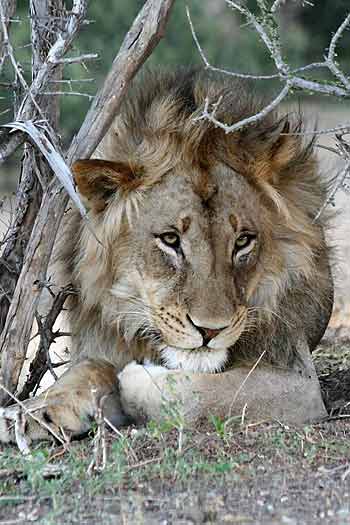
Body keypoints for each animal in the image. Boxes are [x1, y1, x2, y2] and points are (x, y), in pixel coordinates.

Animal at [0, 67, 334, 440]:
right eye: (170, 239)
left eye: (243, 241)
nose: (210, 331)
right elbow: (85, 370)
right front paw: (29, 412)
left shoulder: (299, 379)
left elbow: (201, 392)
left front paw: (134, 379)